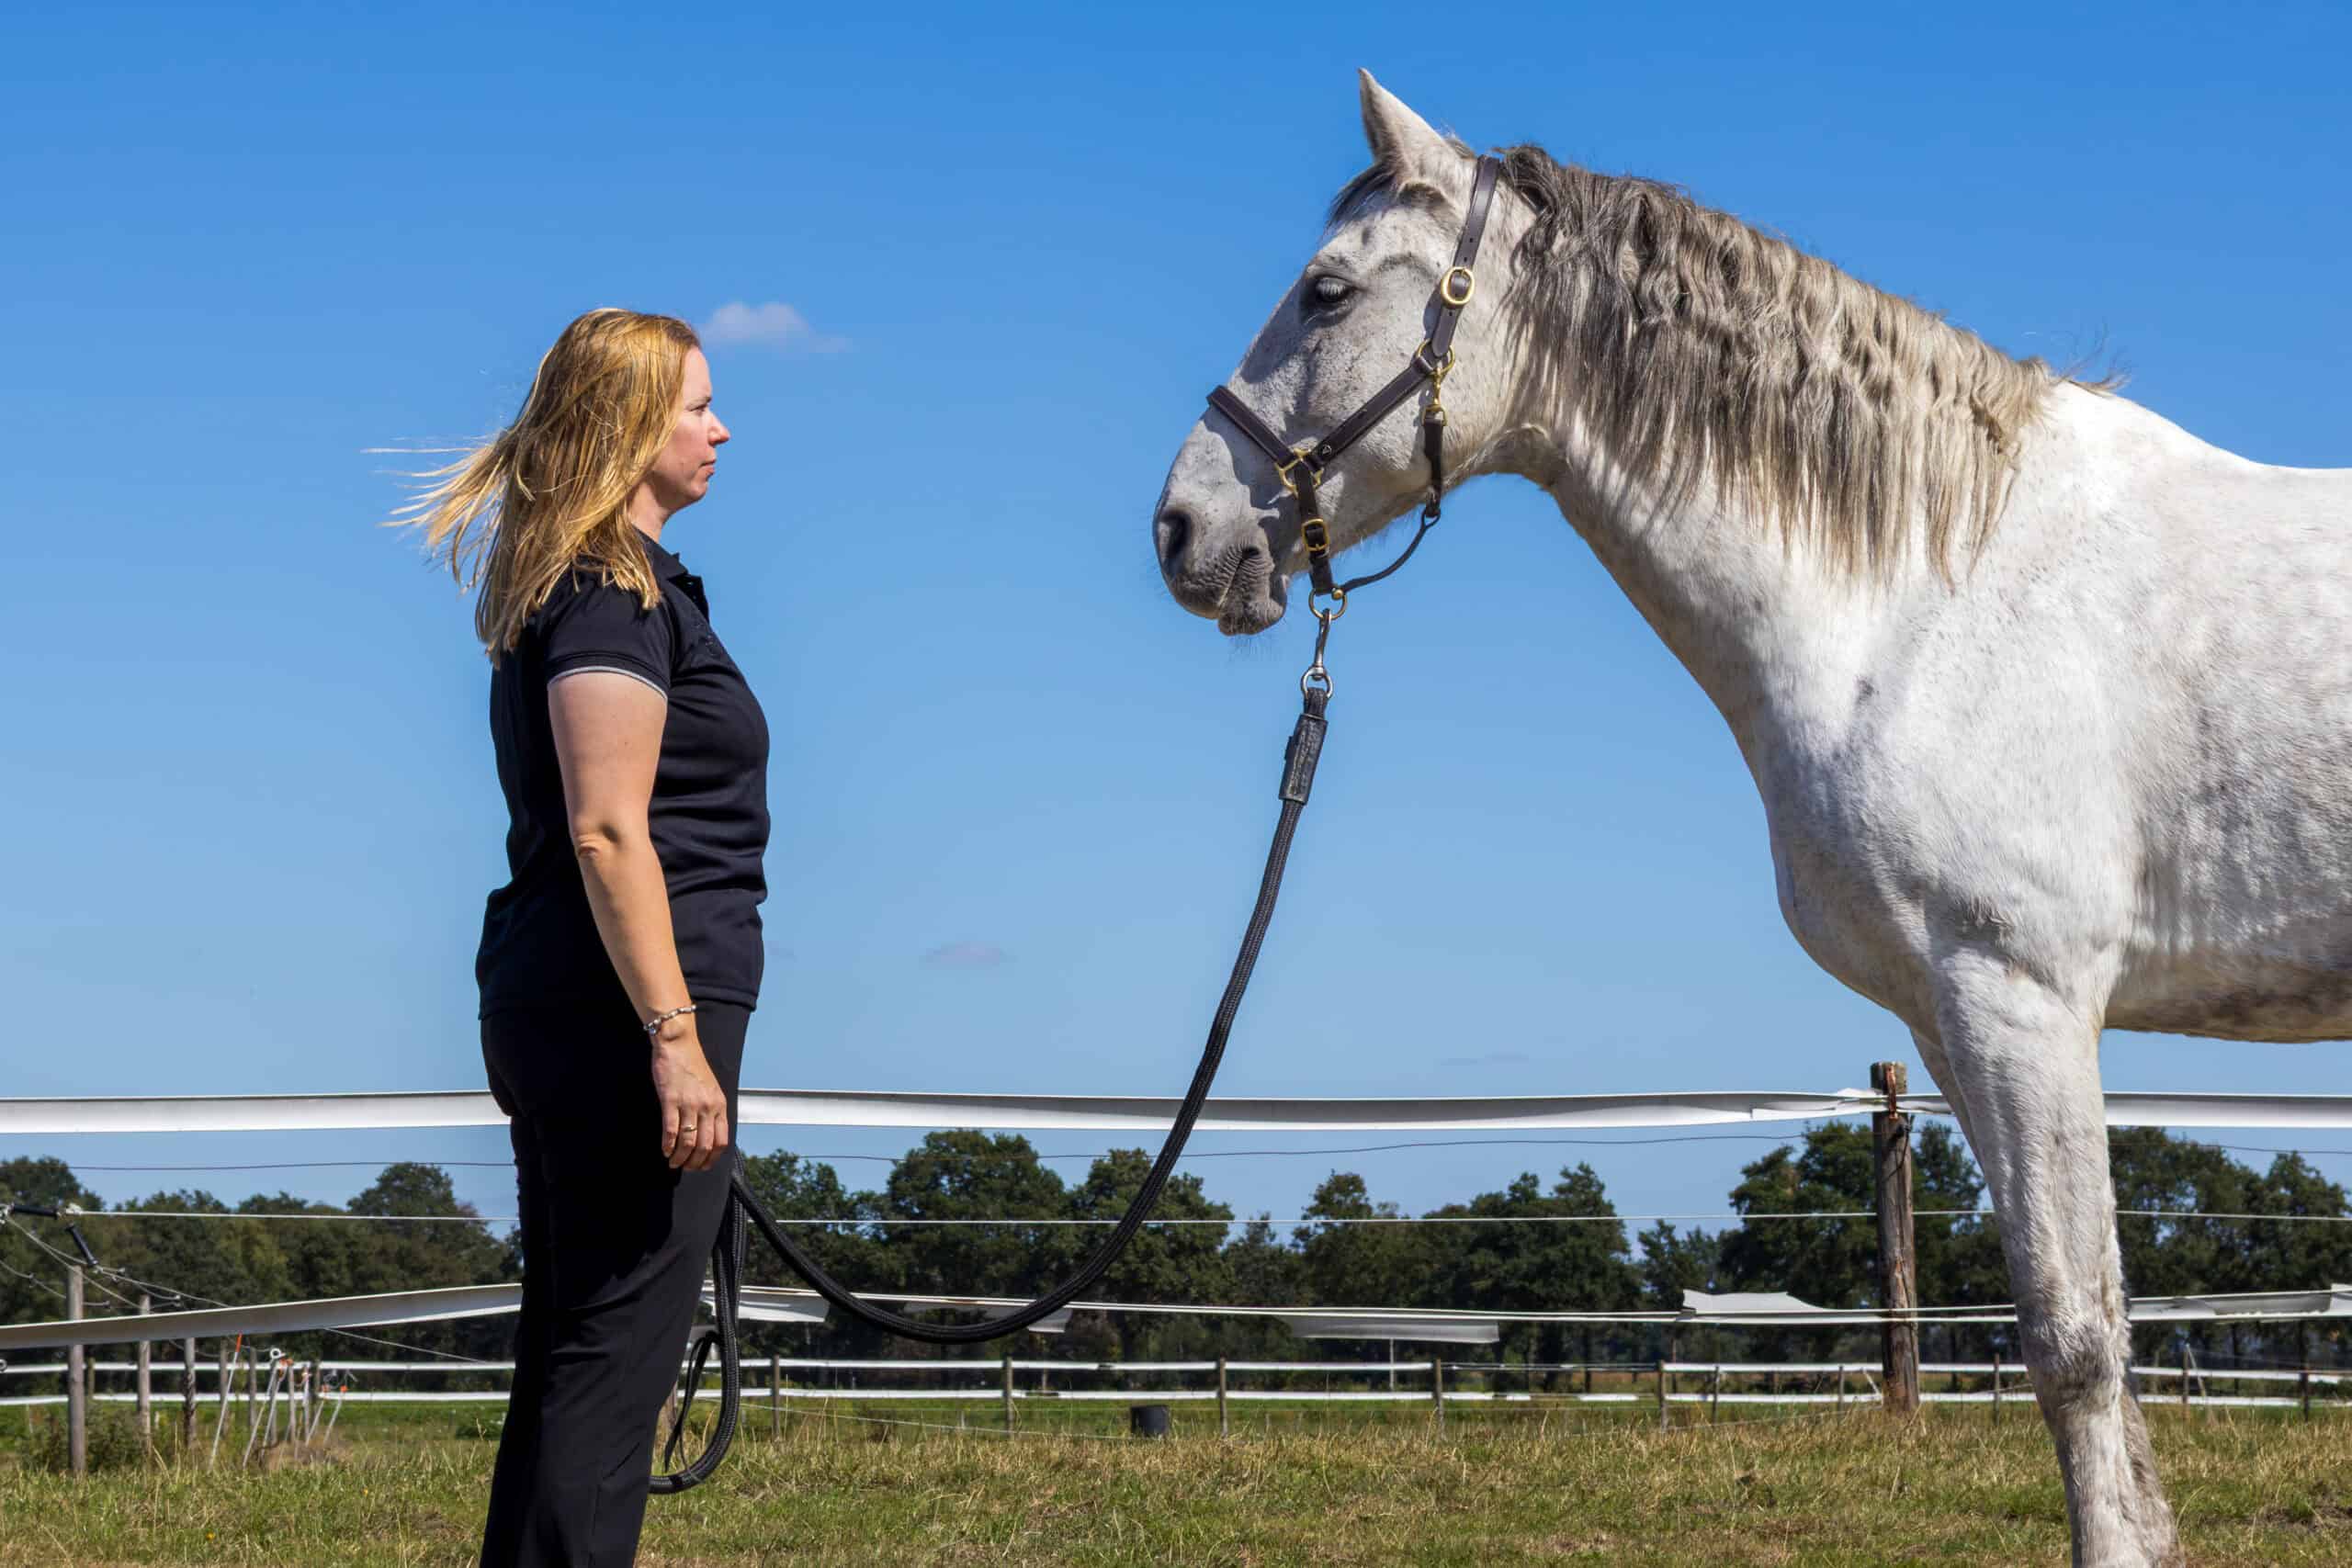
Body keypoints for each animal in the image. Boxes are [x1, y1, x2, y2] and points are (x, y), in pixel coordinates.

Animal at [1152, 70, 2350, 1568]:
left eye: (1324, 291)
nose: (1183, 531)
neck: (1931, 589)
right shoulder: (1952, 1025)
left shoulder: (2022, 998)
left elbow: (2077, 1344)